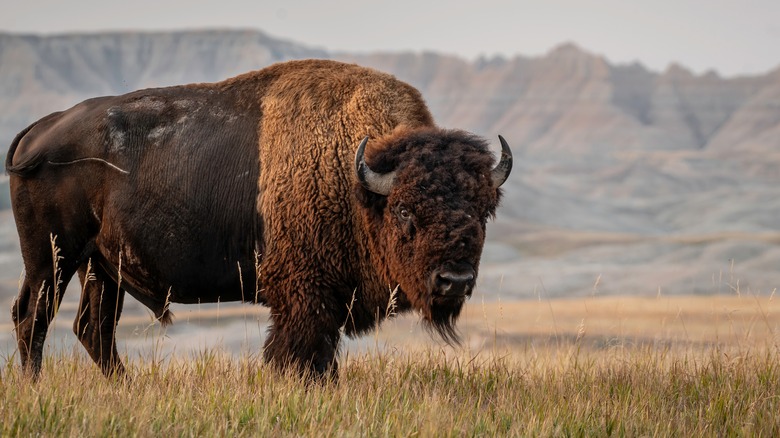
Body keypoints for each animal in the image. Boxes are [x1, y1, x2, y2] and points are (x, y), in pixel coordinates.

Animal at [6, 60, 512, 378]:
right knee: (33, 317)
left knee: (93, 329)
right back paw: (36, 388)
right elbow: (301, 356)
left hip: (100, 267)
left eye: (483, 210)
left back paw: (125, 389)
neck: (356, 178)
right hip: (52, 258)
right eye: (405, 209)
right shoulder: (305, 300)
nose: (454, 280)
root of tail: (40, 129)